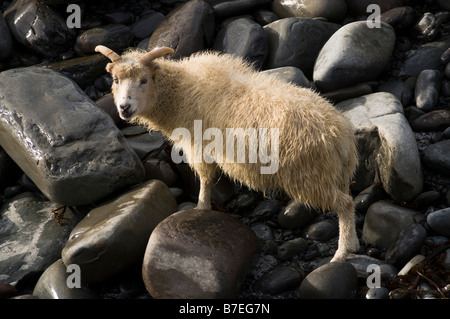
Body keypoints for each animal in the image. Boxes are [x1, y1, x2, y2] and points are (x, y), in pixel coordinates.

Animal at [96, 45, 360, 262]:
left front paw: (201, 208)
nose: (124, 108)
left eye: (143, 80)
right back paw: (354, 243)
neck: (179, 92)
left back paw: (341, 253)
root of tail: (339, 133)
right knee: (349, 199)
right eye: (116, 79)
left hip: (310, 175)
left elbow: (204, 179)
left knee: (345, 204)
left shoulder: (198, 145)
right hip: (335, 173)